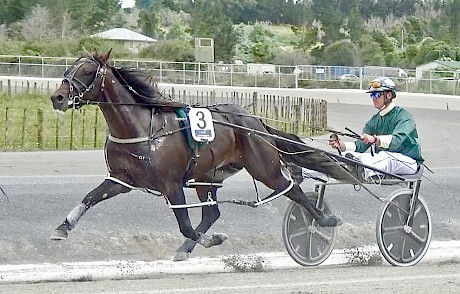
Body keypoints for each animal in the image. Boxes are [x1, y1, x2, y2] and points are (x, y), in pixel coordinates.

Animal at [51, 50, 344, 262]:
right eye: (68, 69)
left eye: (87, 71)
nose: (57, 97)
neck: (140, 127)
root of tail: (255, 121)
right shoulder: (122, 179)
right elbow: (90, 197)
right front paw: (61, 229)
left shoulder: (171, 184)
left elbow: (184, 224)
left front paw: (211, 240)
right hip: (207, 176)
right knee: (212, 212)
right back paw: (187, 248)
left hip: (264, 167)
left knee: (292, 190)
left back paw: (324, 220)